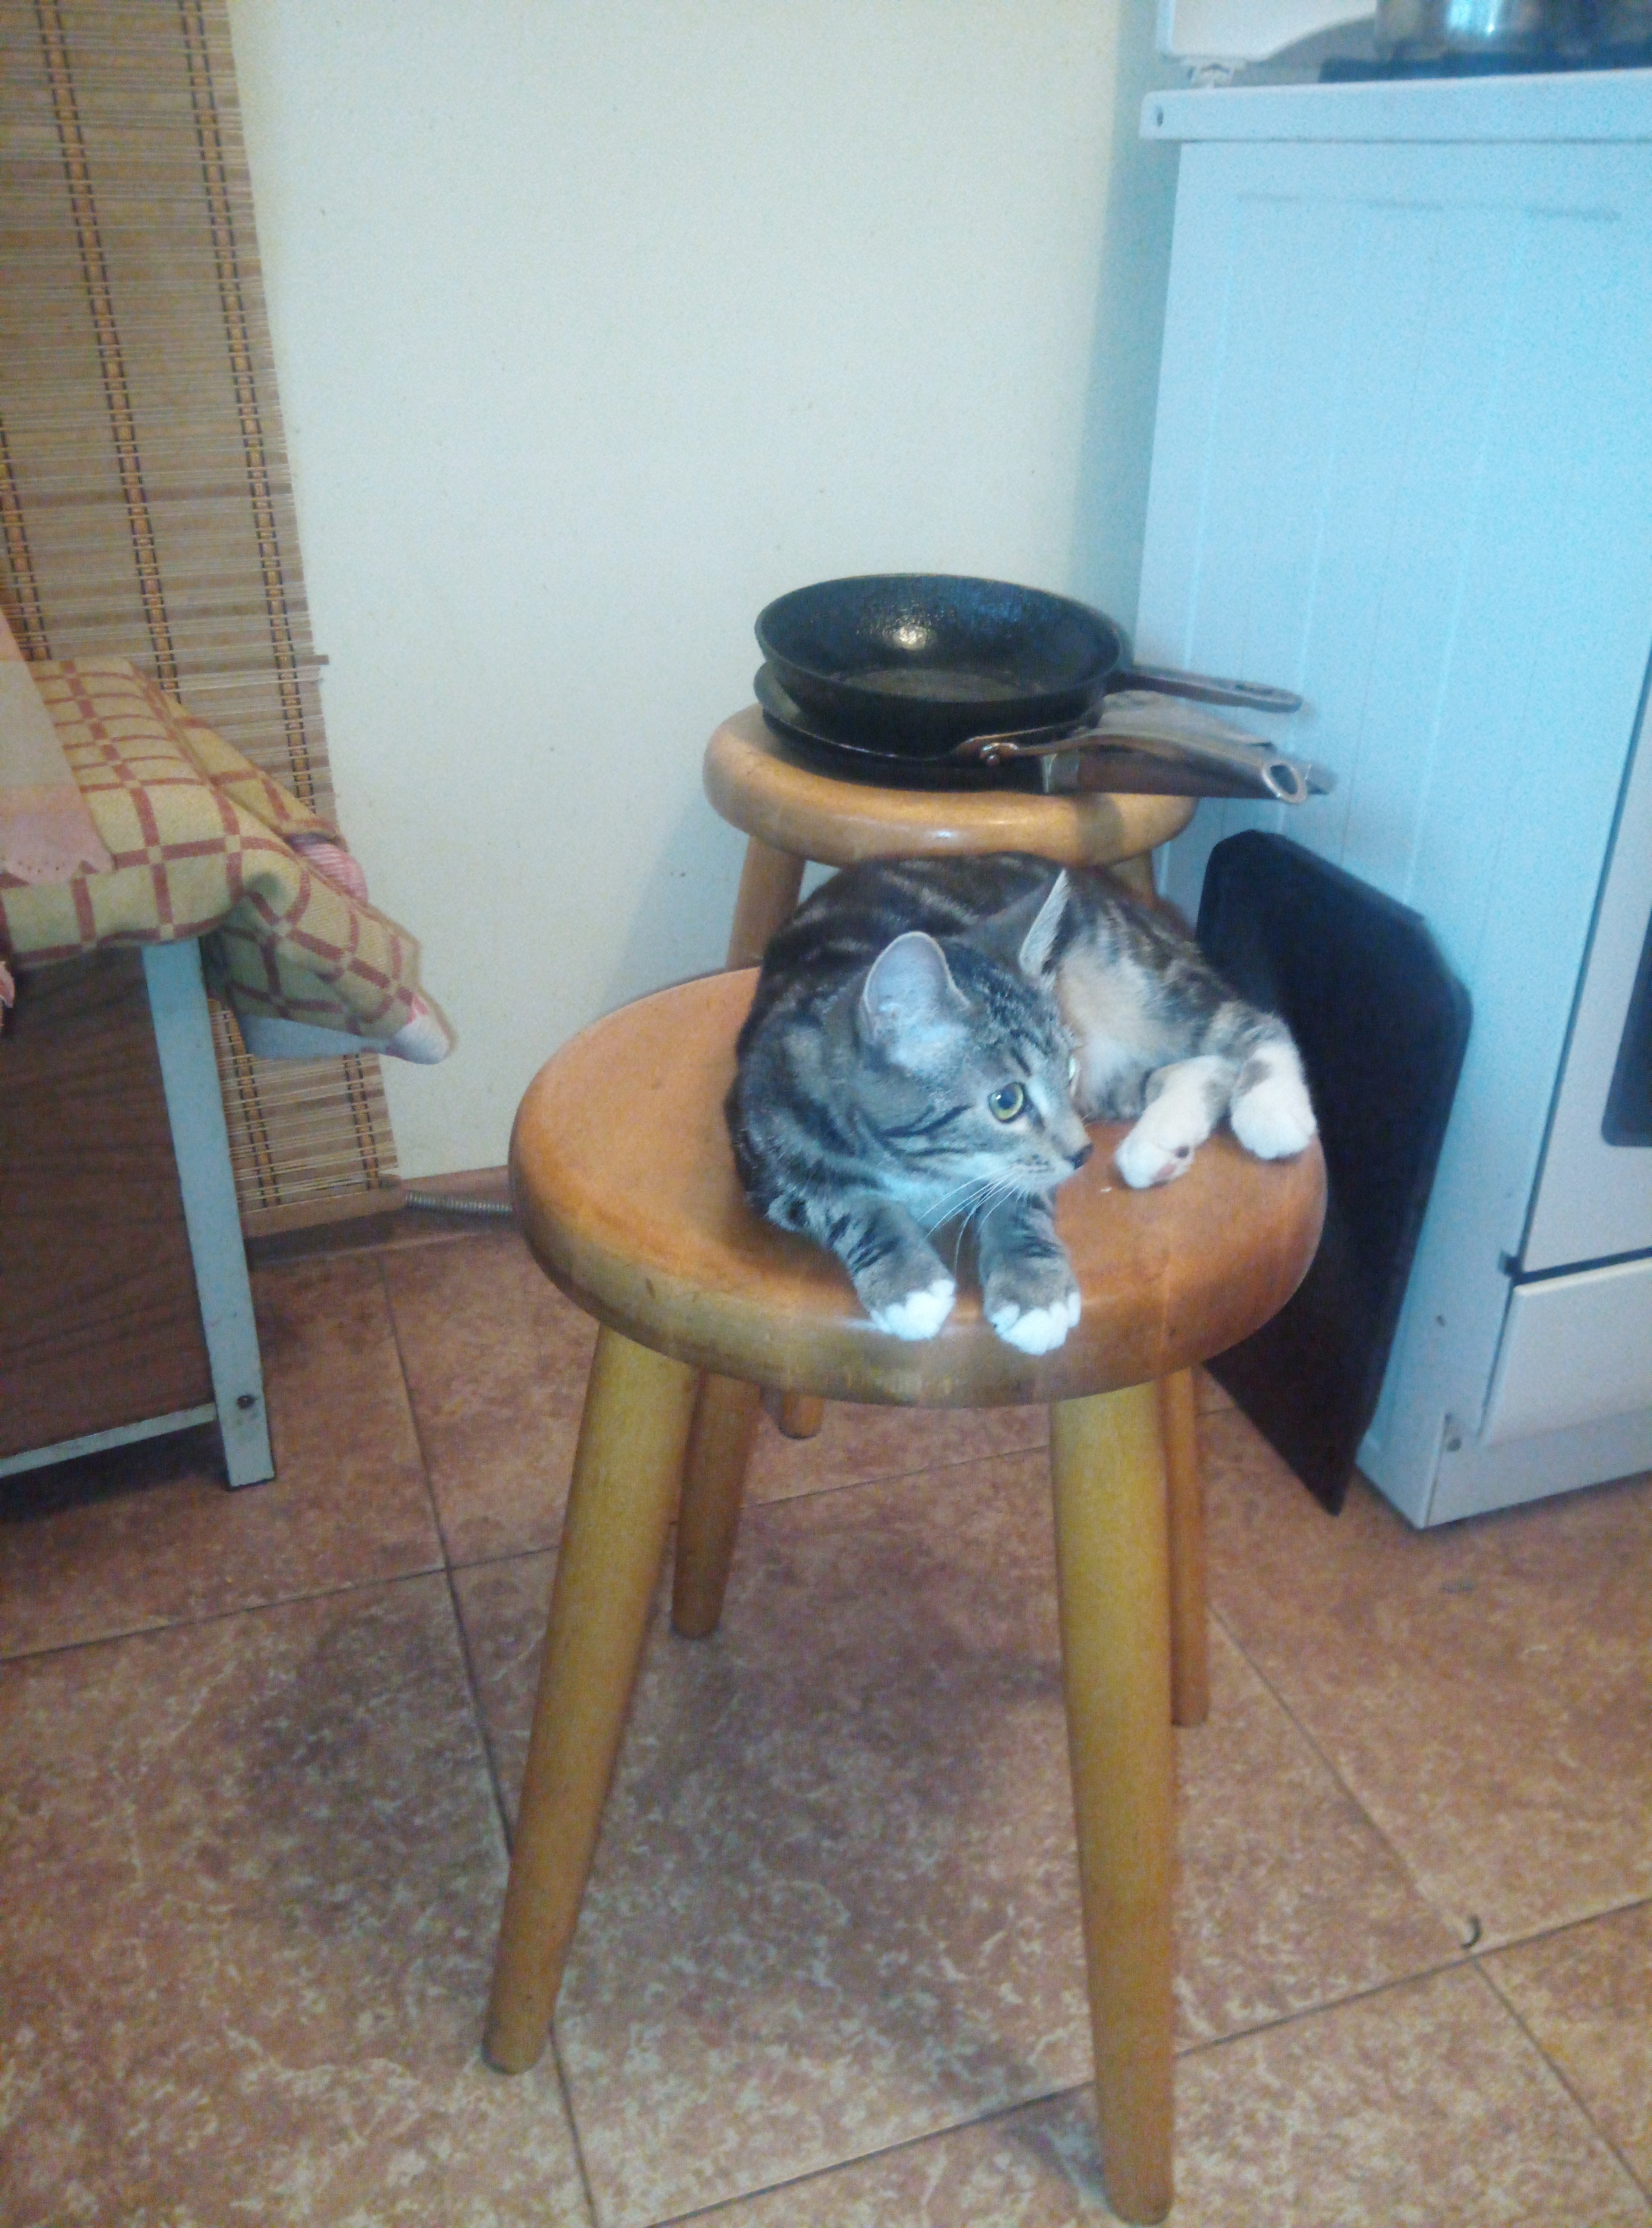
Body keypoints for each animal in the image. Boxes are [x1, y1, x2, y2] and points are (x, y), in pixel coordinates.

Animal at [725, 853, 1315, 1356]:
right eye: (1006, 1102)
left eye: (1066, 1072)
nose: (1082, 1155)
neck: (919, 1166)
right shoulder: (761, 1149)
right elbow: (845, 1204)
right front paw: (907, 1281)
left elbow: (1020, 1195)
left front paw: (1034, 1289)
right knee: (1197, 1066)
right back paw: (1160, 1144)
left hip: (1134, 975)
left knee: (1248, 1024)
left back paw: (1268, 1107)